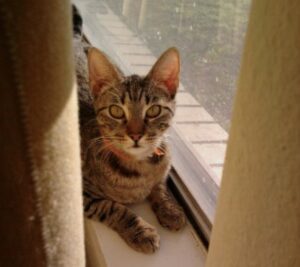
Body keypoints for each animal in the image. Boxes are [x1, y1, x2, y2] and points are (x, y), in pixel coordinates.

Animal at [72, 5, 185, 254]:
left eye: (153, 110)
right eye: (116, 111)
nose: (135, 135)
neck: (139, 167)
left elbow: (160, 187)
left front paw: (170, 209)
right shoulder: (83, 194)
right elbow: (113, 208)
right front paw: (141, 231)